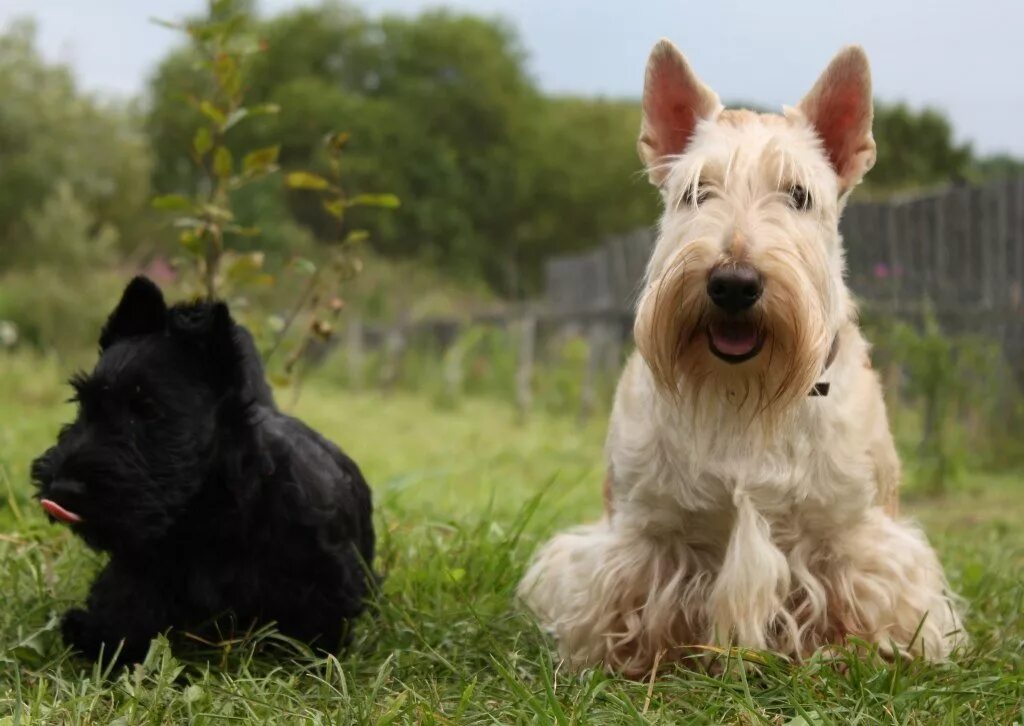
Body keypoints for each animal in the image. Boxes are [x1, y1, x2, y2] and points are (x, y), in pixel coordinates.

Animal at [30, 278, 376, 663]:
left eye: (148, 409)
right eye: (83, 404)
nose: (62, 487)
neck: (211, 513)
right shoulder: (140, 567)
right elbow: (125, 604)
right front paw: (99, 635)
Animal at [520, 40, 966, 675]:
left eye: (799, 194)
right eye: (695, 191)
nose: (733, 283)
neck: (741, 389)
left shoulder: (850, 534)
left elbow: (859, 593)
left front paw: (853, 652)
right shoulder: (646, 532)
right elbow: (630, 595)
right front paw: (633, 659)